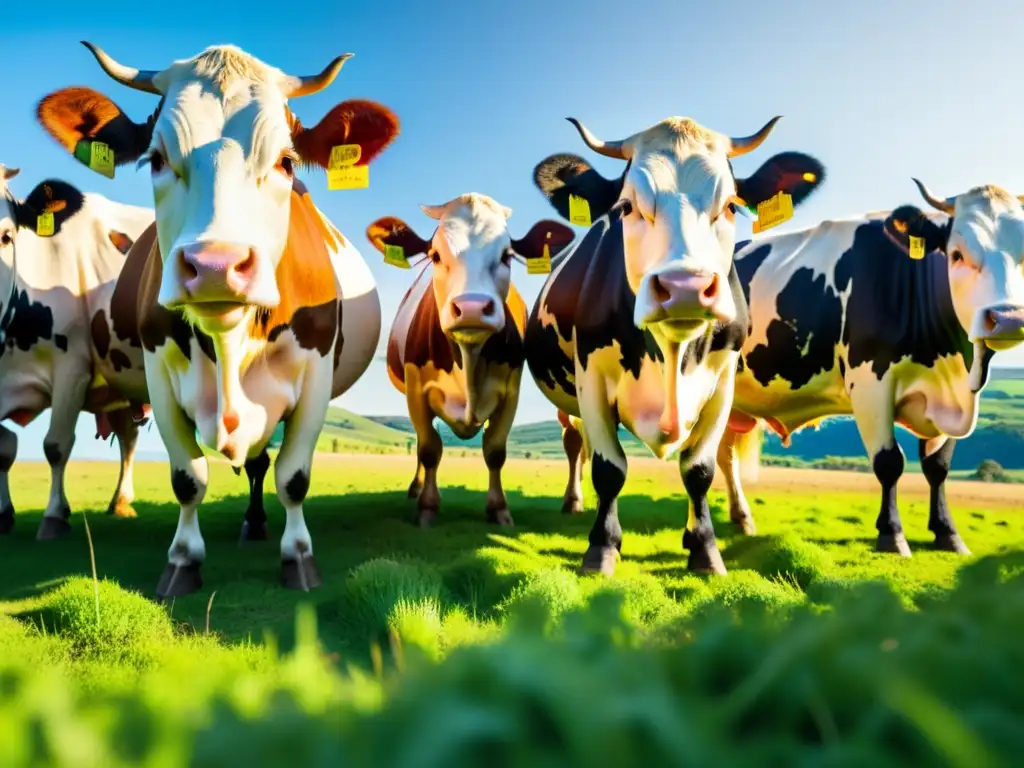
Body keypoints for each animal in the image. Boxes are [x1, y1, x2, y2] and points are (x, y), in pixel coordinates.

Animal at [0, 165, 155, 536]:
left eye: (6, 236)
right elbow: (4, 447)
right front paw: (4, 513)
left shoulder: (72, 369)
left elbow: (55, 445)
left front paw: (55, 516)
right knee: (129, 436)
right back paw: (120, 502)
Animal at [36, 40, 397, 593]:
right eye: (156, 159)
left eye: (286, 161)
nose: (215, 266)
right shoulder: (160, 379)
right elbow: (188, 478)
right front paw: (183, 560)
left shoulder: (316, 377)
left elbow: (294, 476)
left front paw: (299, 557)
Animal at [524, 115, 827, 577]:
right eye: (626, 208)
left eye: (731, 206)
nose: (685, 286)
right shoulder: (590, 376)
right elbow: (609, 468)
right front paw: (602, 547)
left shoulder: (722, 385)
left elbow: (699, 469)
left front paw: (704, 548)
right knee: (577, 445)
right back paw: (576, 504)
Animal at [716, 179, 1024, 561]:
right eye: (956, 255)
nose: (1008, 319)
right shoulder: (870, 386)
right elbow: (889, 462)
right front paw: (892, 535)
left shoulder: (951, 393)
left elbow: (937, 467)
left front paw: (947, 534)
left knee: (724, 456)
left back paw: (742, 518)